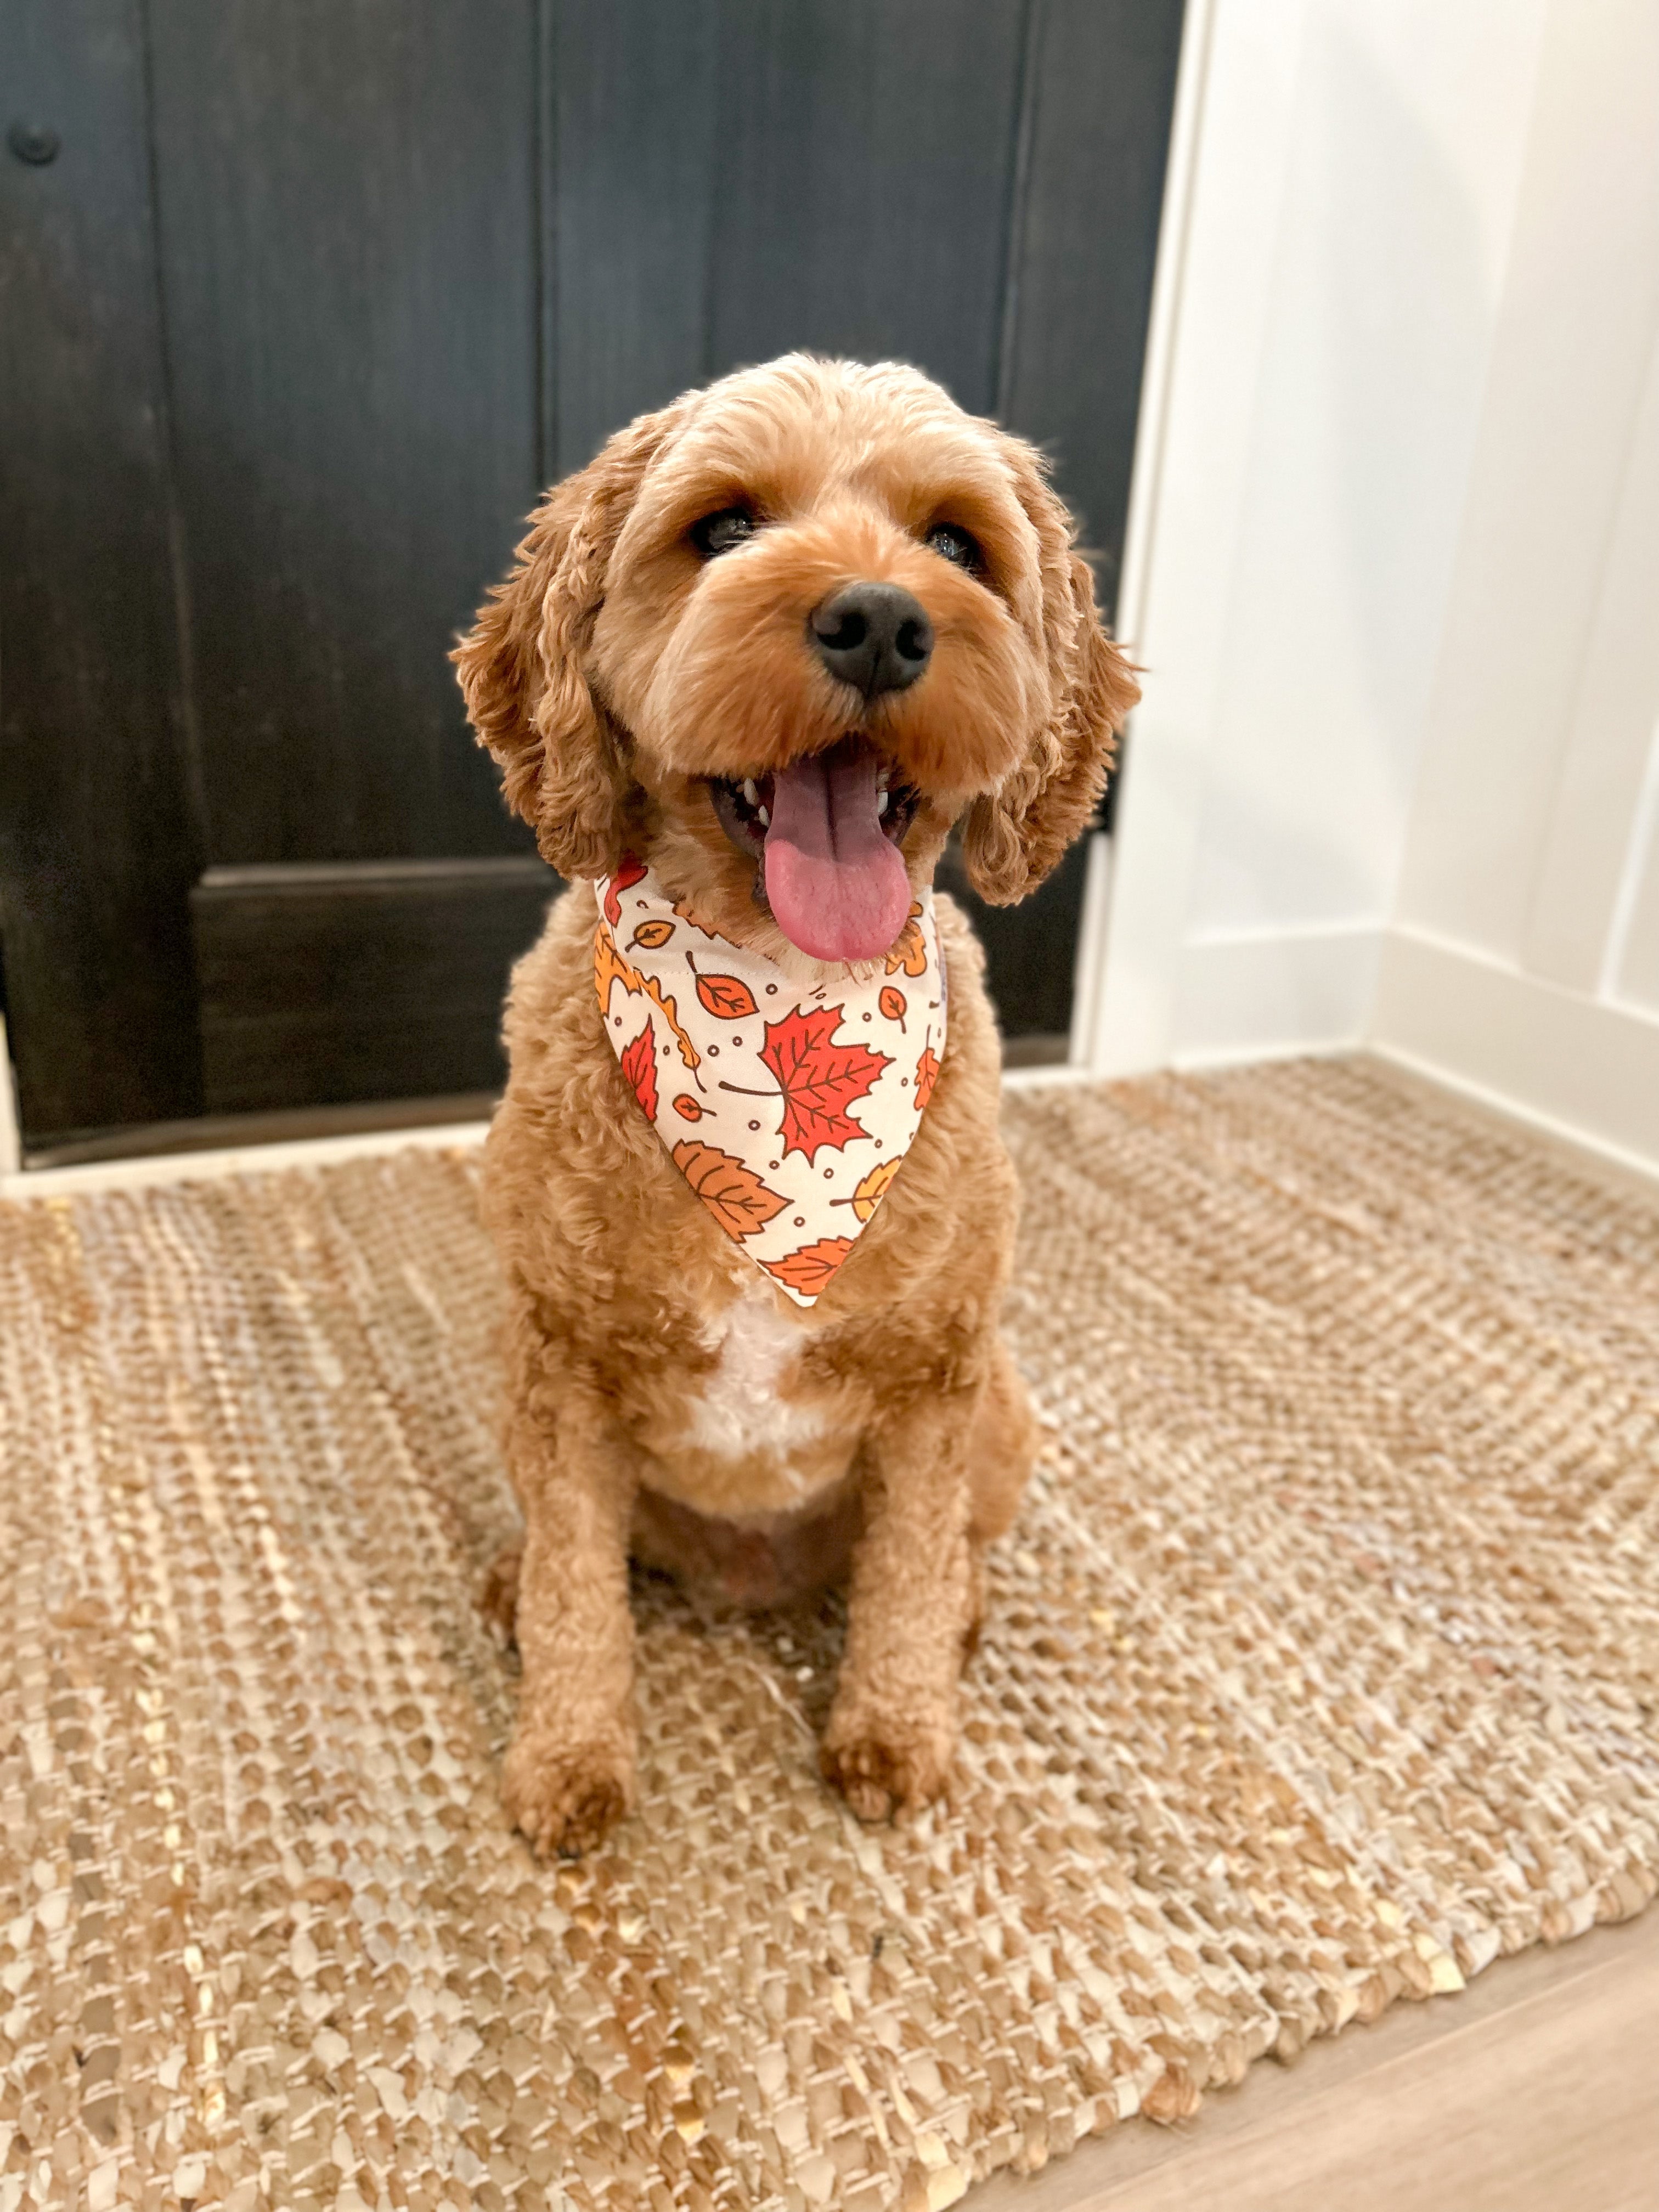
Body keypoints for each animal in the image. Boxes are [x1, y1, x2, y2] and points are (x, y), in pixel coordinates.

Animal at [455, 354, 1141, 1858]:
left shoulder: (937, 1377)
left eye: (959, 544)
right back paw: (511, 1584)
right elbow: (581, 1590)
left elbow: (905, 1575)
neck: (773, 1000)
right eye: (720, 527)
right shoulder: (560, 1361)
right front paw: (568, 1760)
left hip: (1005, 1417)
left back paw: (960, 1625)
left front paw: (894, 1735)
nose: (880, 619)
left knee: (944, 1560)